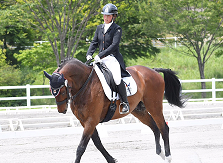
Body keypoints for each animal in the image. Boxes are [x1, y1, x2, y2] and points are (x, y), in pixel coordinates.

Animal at [43, 57, 185, 162]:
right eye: (51, 90)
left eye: (61, 91)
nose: (61, 110)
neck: (84, 85)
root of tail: (153, 71)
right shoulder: (85, 121)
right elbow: (97, 143)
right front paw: (111, 160)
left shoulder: (91, 120)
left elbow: (81, 147)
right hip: (139, 110)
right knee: (154, 127)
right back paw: (160, 153)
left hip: (154, 106)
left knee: (163, 127)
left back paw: (168, 156)